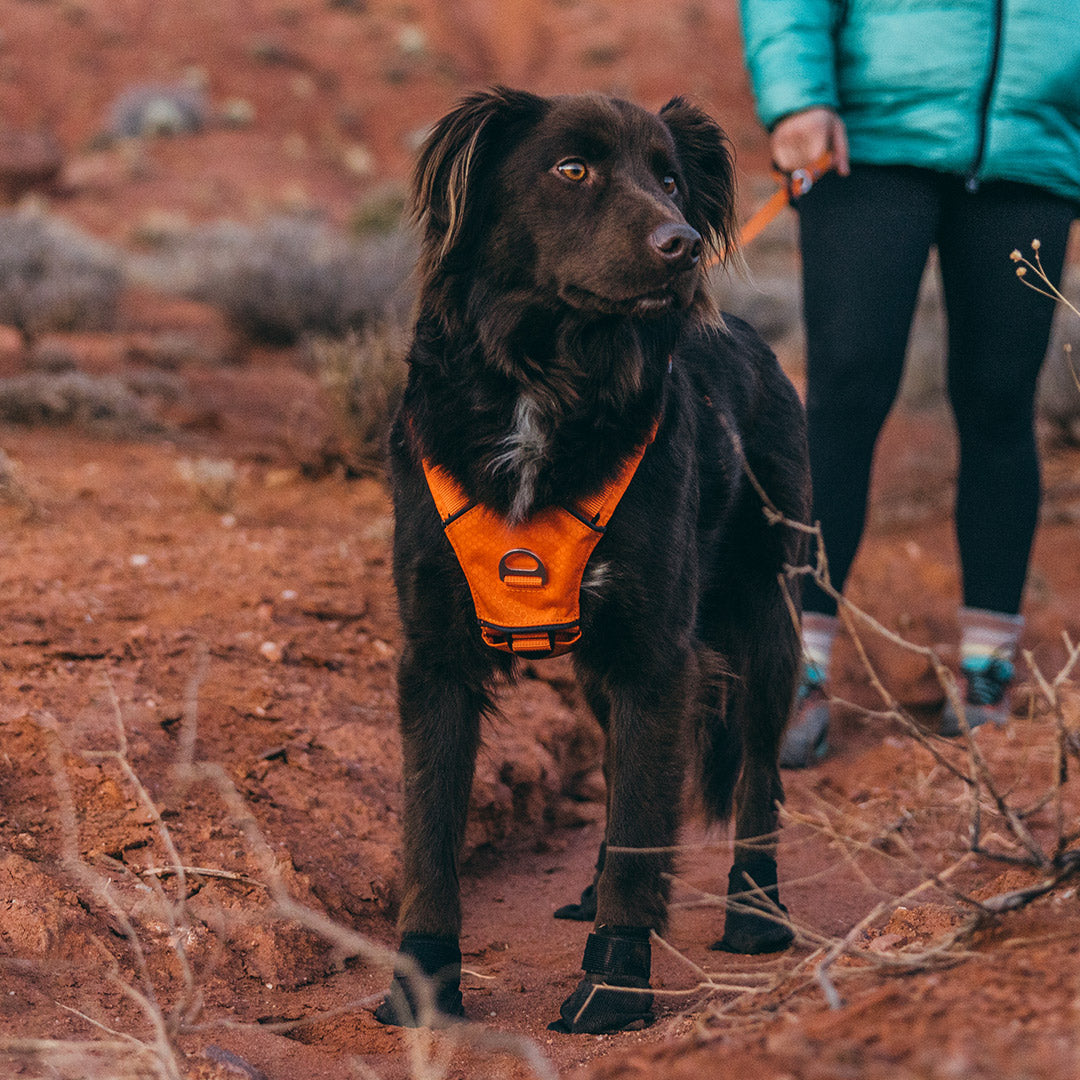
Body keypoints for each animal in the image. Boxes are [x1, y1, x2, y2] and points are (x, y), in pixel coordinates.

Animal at [375, 88, 807, 1032]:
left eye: (671, 179)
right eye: (572, 169)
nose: (683, 244)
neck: (547, 383)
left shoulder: (656, 656)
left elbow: (646, 826)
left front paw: (614, 985)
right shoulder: (435, 656)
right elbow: (429, 836)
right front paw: (423, 985)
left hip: (765, 616)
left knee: (758, 773)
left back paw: (757, 913)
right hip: (597, 668)